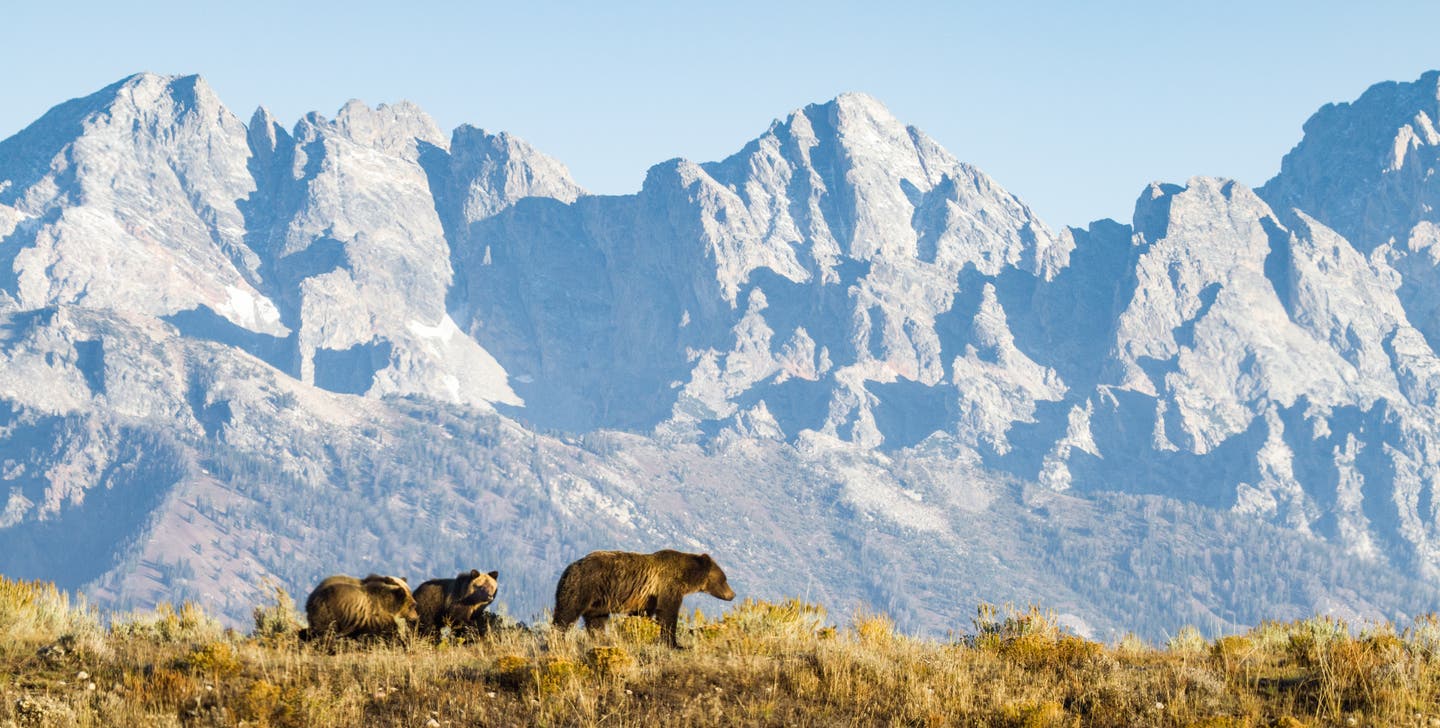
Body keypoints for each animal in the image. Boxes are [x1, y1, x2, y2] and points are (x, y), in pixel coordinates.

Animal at [547, 549, 731, 644]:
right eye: (724, 579)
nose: (732, 594)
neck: (686, 576)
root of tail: (569, 568)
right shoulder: (668, 585)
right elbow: (668, 613)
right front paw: (673, 643)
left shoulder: (647, 598)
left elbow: (641, 615)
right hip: (584, 586)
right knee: (567, 612)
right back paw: (557, 638)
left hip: (599, 600)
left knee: (596, 621)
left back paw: (602, 639)